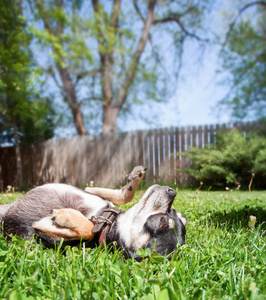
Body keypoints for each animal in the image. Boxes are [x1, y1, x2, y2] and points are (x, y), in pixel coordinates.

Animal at [0, 166, 187, 260]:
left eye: (161, 222)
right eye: (177, 214)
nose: (173, 192)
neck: (106, 218)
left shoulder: (31, 243)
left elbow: (88, 231)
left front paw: (66, 218)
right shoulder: (92, 191)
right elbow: (122, 196)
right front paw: (133, 181)